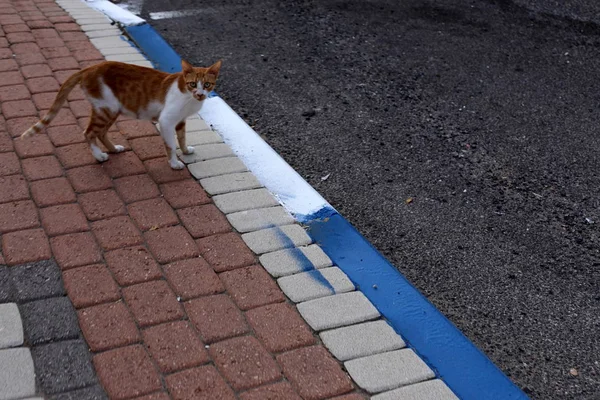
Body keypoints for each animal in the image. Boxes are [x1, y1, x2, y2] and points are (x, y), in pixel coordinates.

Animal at [21, 59, 223, 169]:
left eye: (207, 85)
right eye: (192, 84)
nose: (200, 94)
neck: (189, 98)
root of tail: (89, 68)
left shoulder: (180, 120)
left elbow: (181, 138)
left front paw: (186, 151)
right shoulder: (166, 121)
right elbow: (171, 145)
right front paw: (174, 163)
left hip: (112, 110)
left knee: (101, 133)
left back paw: (113, 149)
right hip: (106, 108)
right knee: (89, 132)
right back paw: (99, 156)